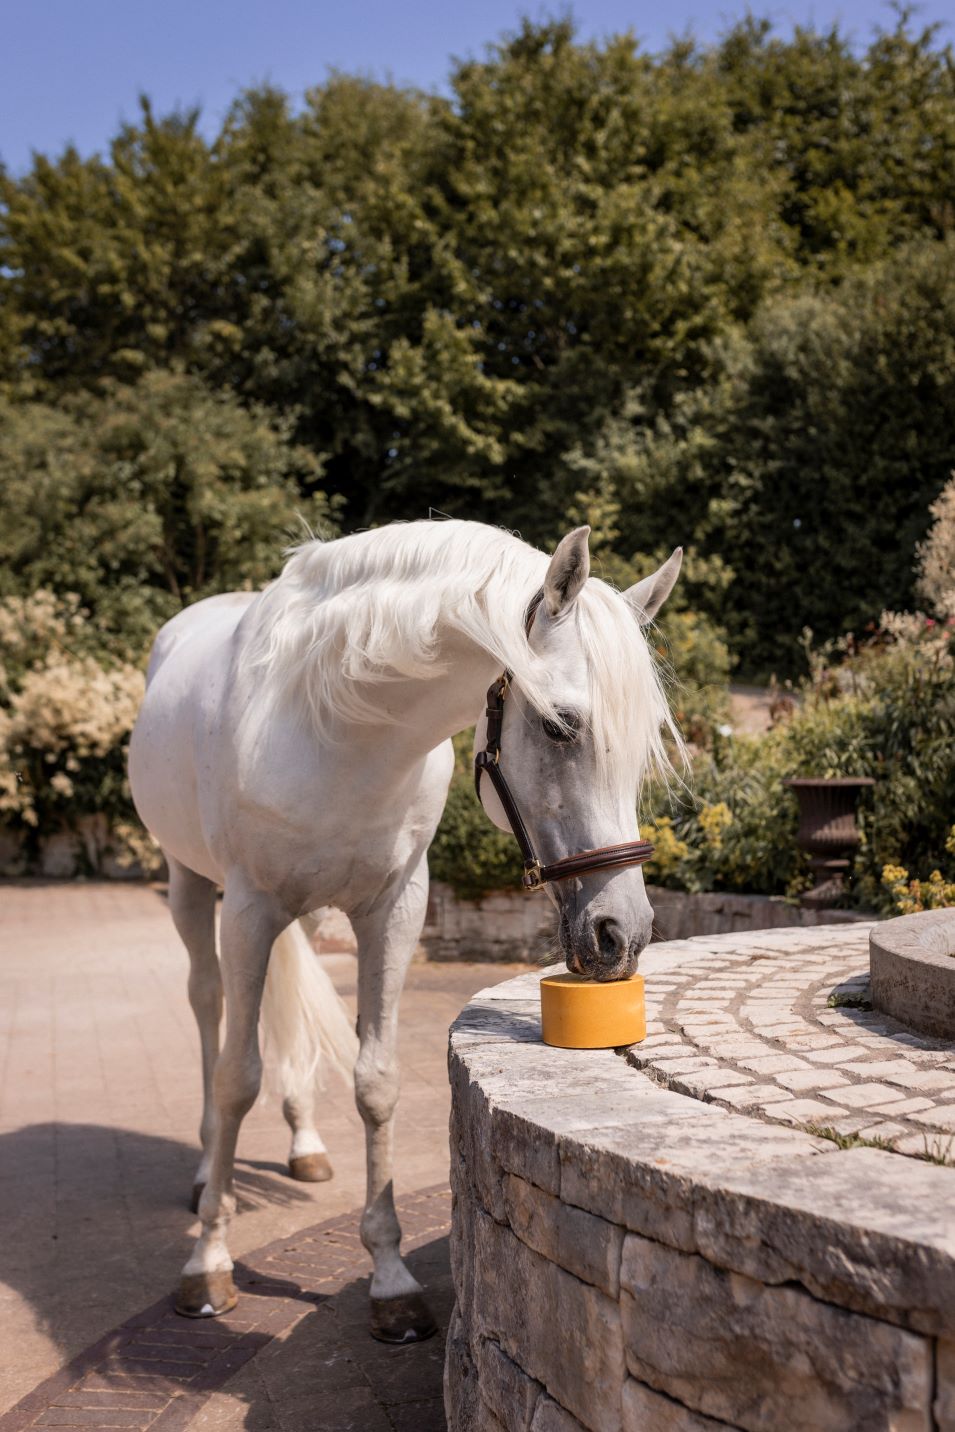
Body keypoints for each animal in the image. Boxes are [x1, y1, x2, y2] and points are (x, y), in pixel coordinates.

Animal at [128, 518, 678, 1340]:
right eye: (559, 727)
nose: (623, 934)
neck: (338, 728)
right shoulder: (249, 908)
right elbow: (234, 1081)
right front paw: (207, 1265)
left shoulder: (393, 908)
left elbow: (376, 1081)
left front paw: (390, 1280)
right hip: (193, 887)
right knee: (207, 1007)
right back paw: (204, 1177)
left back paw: (305, 1141)